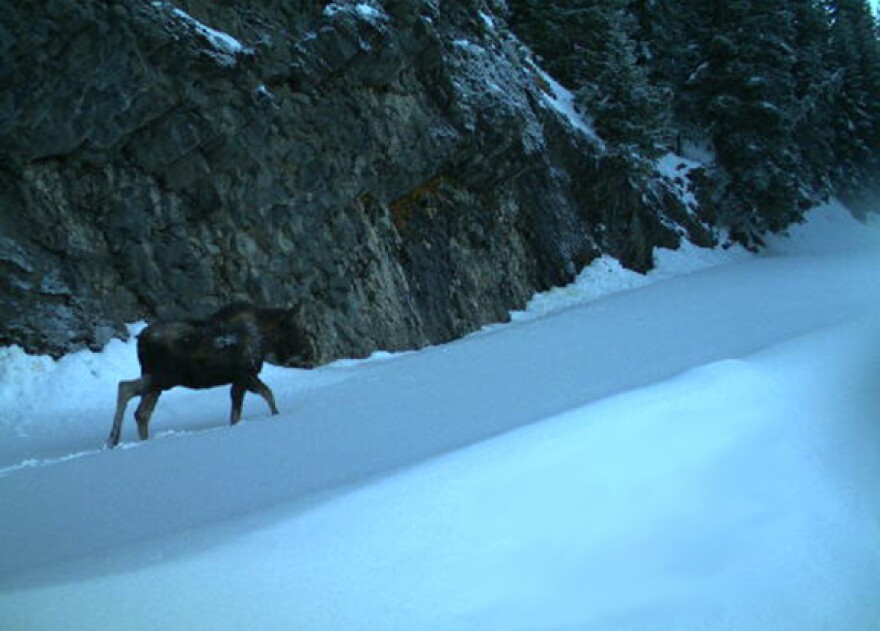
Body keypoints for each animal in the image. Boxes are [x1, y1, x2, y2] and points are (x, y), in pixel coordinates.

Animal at [107, 302, 312, 446]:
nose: (308, 353)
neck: (265, 341)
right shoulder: (245, 374)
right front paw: (277, 416)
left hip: (158, 381)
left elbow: (237, 412)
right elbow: (267, 395)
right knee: (125, 388)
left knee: (141, 412)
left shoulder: (239, 379)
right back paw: (112, 440)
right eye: (300, 329)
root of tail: (140, 340)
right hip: (163, 377)